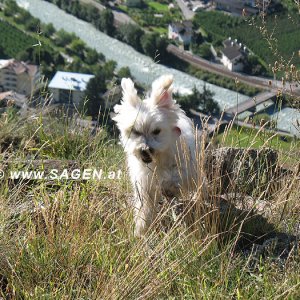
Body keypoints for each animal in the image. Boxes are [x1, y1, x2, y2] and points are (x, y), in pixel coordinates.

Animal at [112, 75, 204, 237]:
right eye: (135, 131)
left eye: (156, 131)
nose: (145, 150)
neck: (159, 158)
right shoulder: (144, 183)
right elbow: (144, 208)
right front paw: (141, 230)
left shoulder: (186, 168)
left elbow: (175, 177)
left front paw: (169, 187)